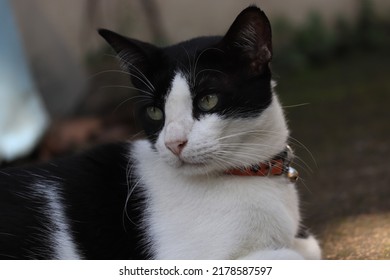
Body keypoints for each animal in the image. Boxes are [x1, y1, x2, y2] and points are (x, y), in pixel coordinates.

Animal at [0, 6, 320, 260]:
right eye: (155, 112)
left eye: (208, 100)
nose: (174, 143)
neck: (248, 176)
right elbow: (294, 256)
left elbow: (309, 248)